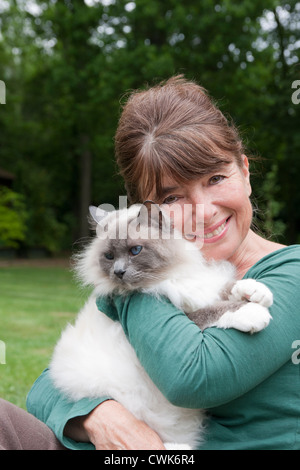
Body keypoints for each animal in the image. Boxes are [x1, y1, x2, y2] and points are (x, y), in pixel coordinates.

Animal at [50, 200, 274, 450]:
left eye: (135, 251)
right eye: (109, 256)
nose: (118, 272)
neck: (170, 276)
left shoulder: (200, 286)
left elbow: (229, 288)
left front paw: (259, 293)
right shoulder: (187, 316)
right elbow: (217, 310)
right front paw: (255, 313)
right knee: (161, 441)